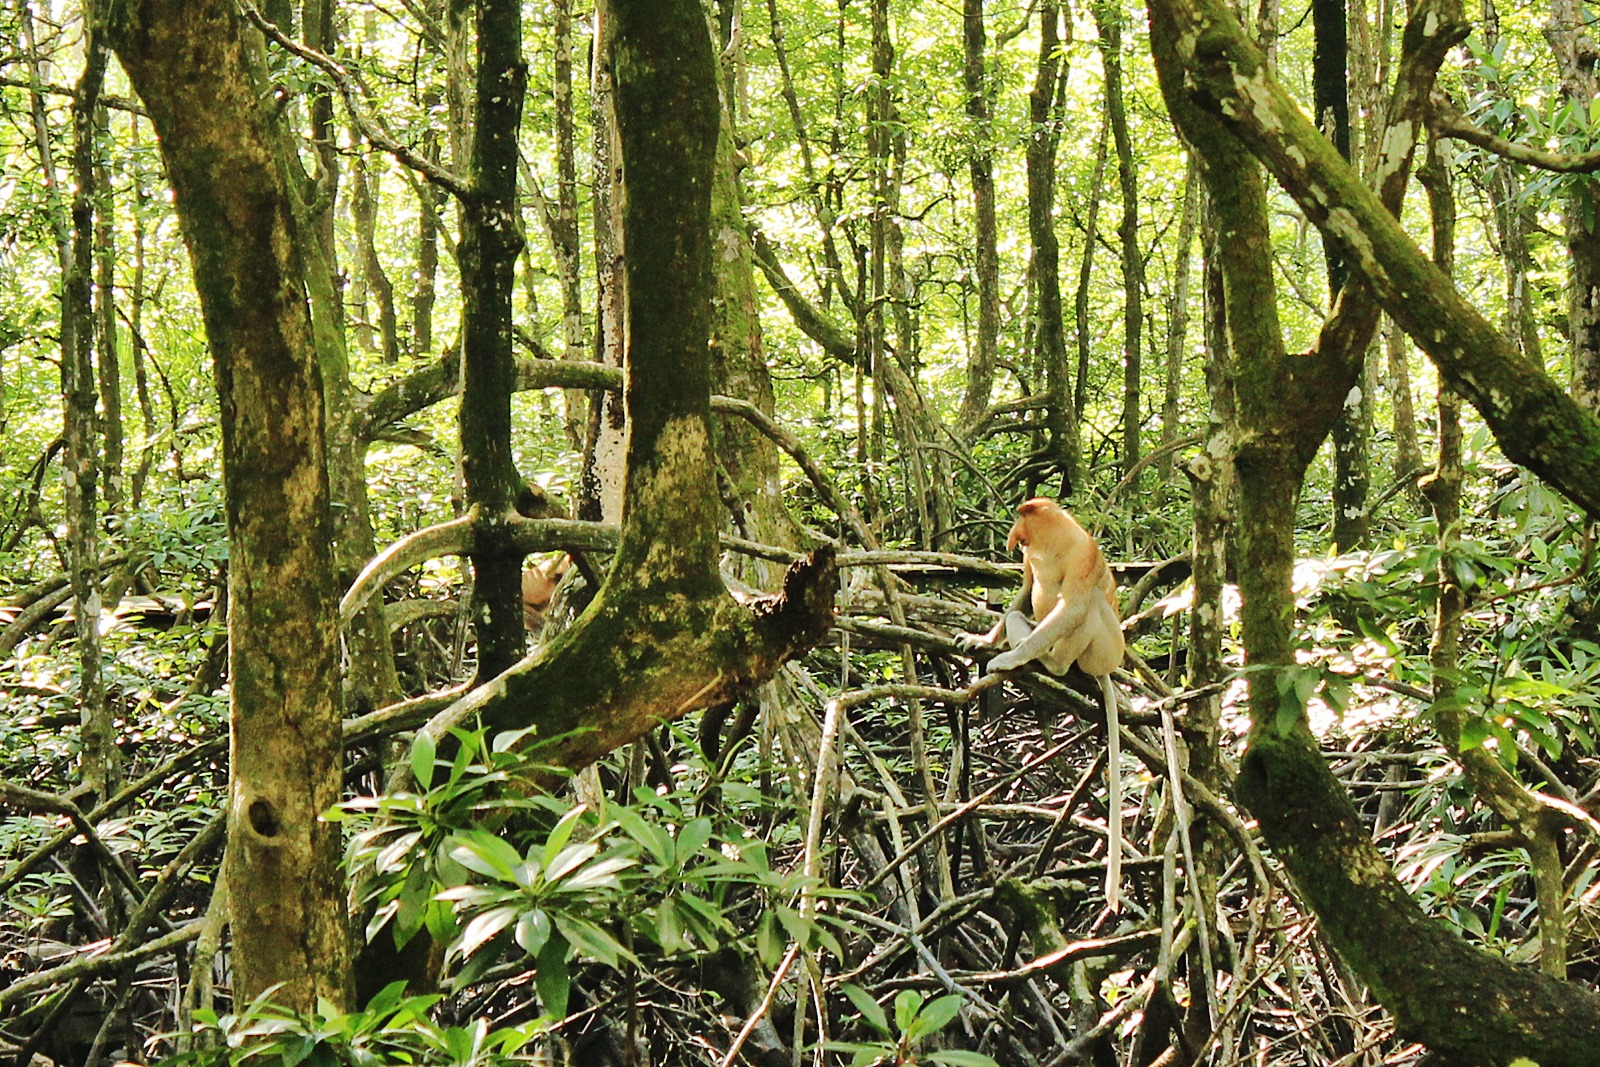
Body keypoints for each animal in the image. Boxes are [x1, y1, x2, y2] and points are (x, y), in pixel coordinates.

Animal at [953, 502, 1132, 908]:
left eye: (1022, 518)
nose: (1012, 537)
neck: (1054, 544)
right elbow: (1023, 593)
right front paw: (981, 640)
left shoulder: (1083, 554)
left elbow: (1073, 605)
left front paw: (1008, 658)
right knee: (1022, 616)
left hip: (1106, 650)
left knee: (1087, 605)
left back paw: (1051, 664)